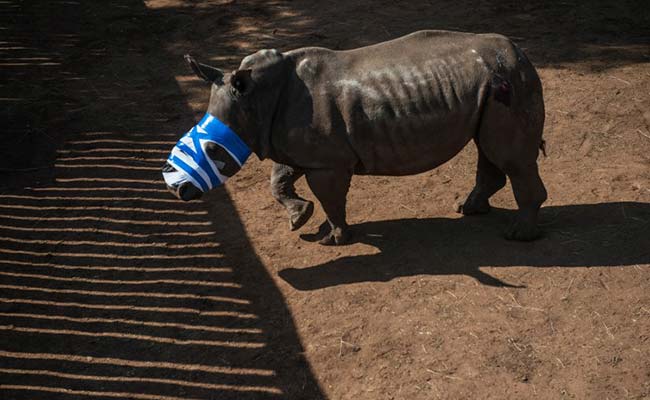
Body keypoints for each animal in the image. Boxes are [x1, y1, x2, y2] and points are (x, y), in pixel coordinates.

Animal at [163, 30, 547, 245]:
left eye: (212, 149)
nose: (177, 191)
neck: (255, 99)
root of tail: (522, 53)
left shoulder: (326, 162)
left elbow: (331, 198)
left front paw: (333, 239)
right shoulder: (299, 148)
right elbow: (279, 180)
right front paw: (300, 219)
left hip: (510, 78)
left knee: (509, 156)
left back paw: (518, 236)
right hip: (492, 86)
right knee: (491, 150)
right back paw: (467, 209)